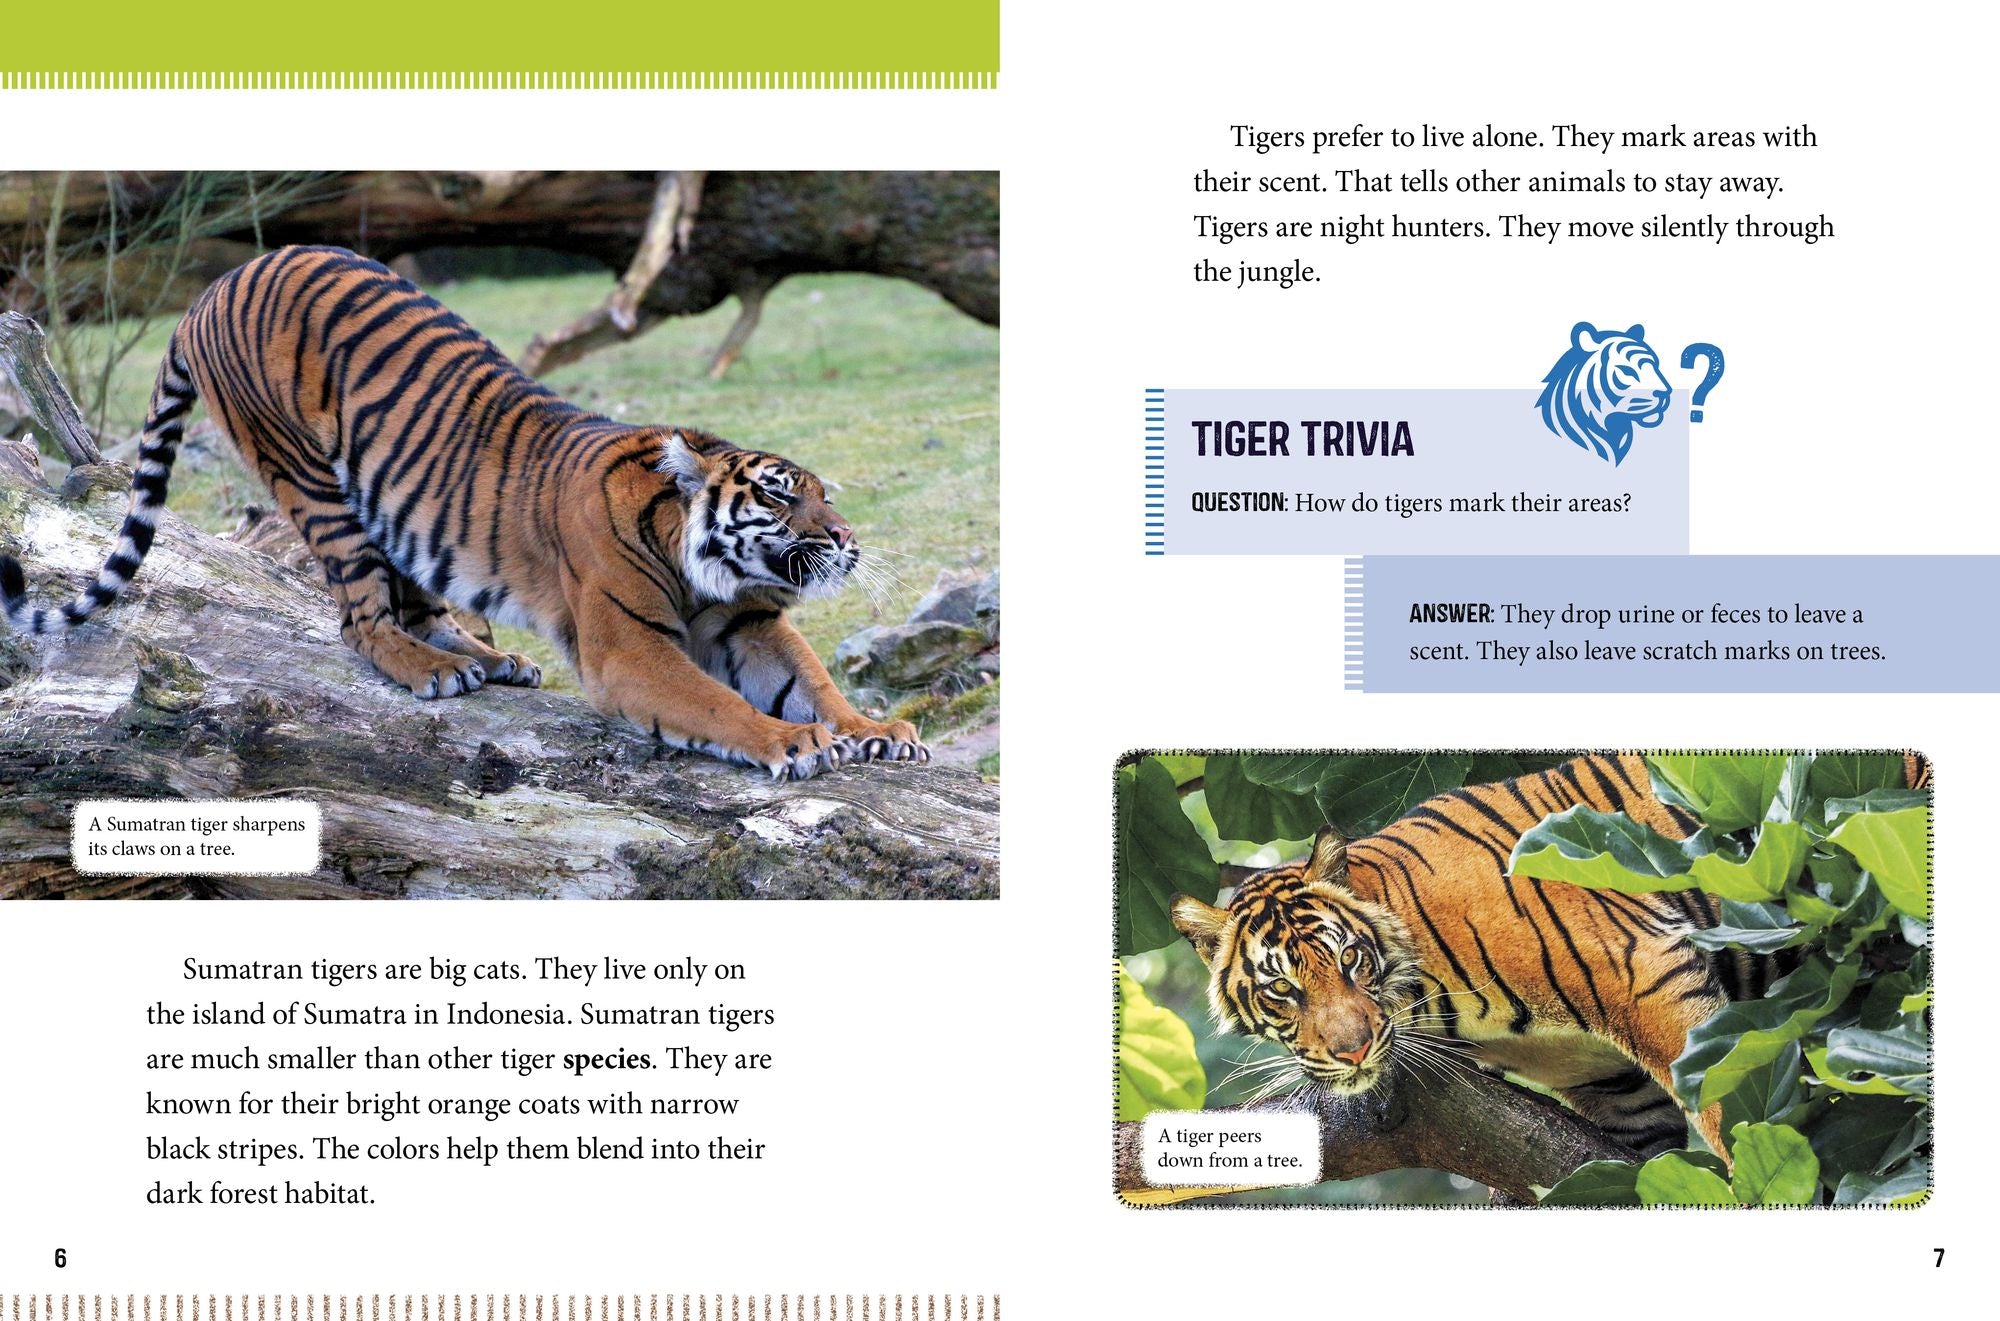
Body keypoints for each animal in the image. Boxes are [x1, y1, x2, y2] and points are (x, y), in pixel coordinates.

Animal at [0, 245, 926, 780]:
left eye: (825, 493)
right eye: (778, 492)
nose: (846, 538)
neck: (702, 561)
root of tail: (208, 291)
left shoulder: (749, 621)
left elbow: (811, 678)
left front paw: (872, 728)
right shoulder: (629, 649)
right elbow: (719, 704)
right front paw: (791, 744)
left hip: (395, 500)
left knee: (418, 600)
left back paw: (486, 658)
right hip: (312, 480)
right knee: (360, 621)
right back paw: (428, 669)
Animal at [1173, 754, 1788, 1164]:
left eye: (1350, 959)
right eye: (1282, 988)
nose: (1353, 1053)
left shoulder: (1646, 967)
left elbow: (1725, 1103)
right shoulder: (1616, 1088)